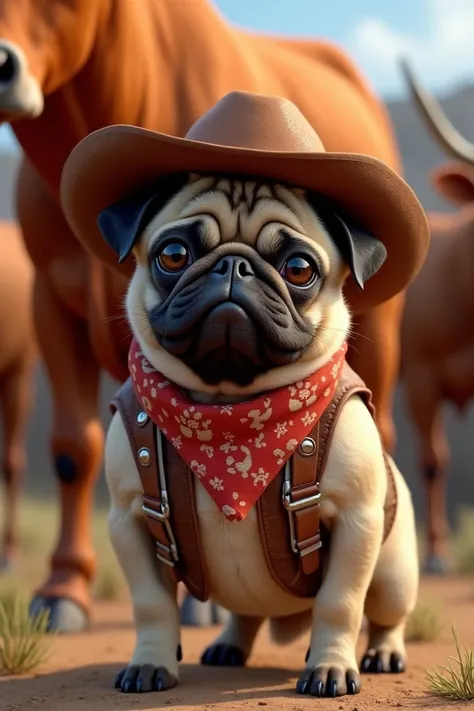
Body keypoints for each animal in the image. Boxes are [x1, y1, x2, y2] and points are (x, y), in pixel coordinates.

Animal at [0, 0, 410, 636]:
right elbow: (74, 451)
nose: (234, 267)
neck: (230, 422)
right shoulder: (52, 306)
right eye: (173, 255)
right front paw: (64, 589)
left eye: (298, 268)